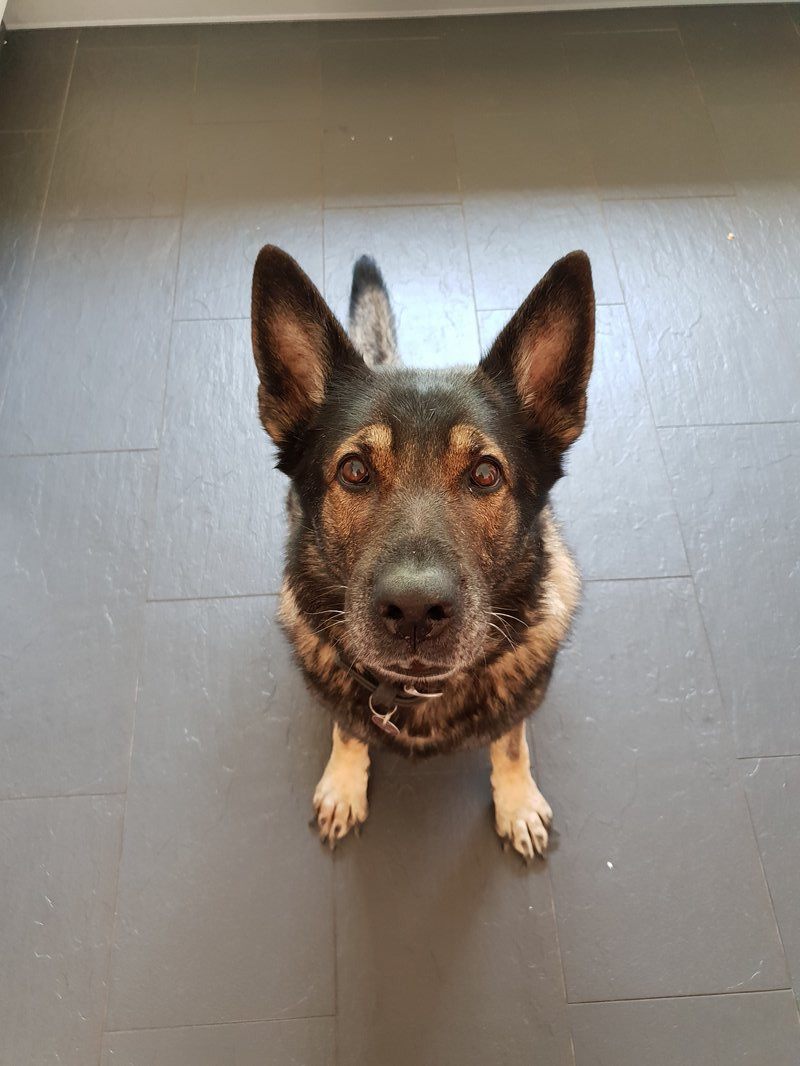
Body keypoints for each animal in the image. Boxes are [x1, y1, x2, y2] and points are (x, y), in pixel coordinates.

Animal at [251, 245, 594, 860]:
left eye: (485, 474)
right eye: (354, 471)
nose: (414, 612)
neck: (418, 691)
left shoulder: (518, 702)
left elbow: (511, 744)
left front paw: (517, 800)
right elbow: (348, 730)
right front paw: (344, 782)